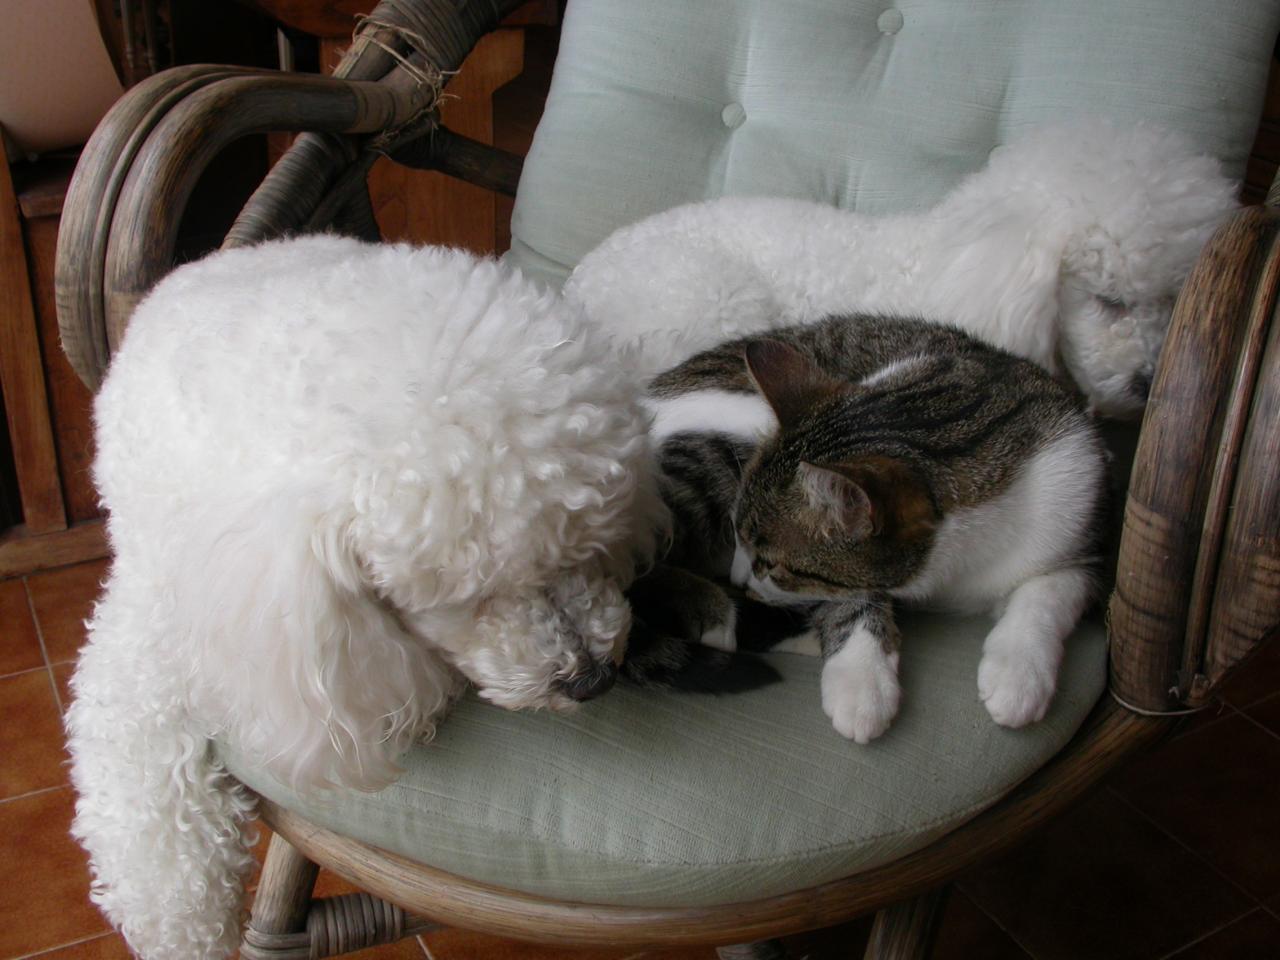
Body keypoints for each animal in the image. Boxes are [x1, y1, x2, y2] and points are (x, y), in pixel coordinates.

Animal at [64, 239, 665, 960]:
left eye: (589, 545)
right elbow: (149, 807)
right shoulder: (161, 618)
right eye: (474, 596)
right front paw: (184, 931)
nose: (592, 679)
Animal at [632, 316, 1111, 742]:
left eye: (770, 563)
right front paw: (860, 679)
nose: (737, 579)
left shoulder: (1079, 519)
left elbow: (1049, 595)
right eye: (736, 535)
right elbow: (852, 595)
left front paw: (1018, 675)